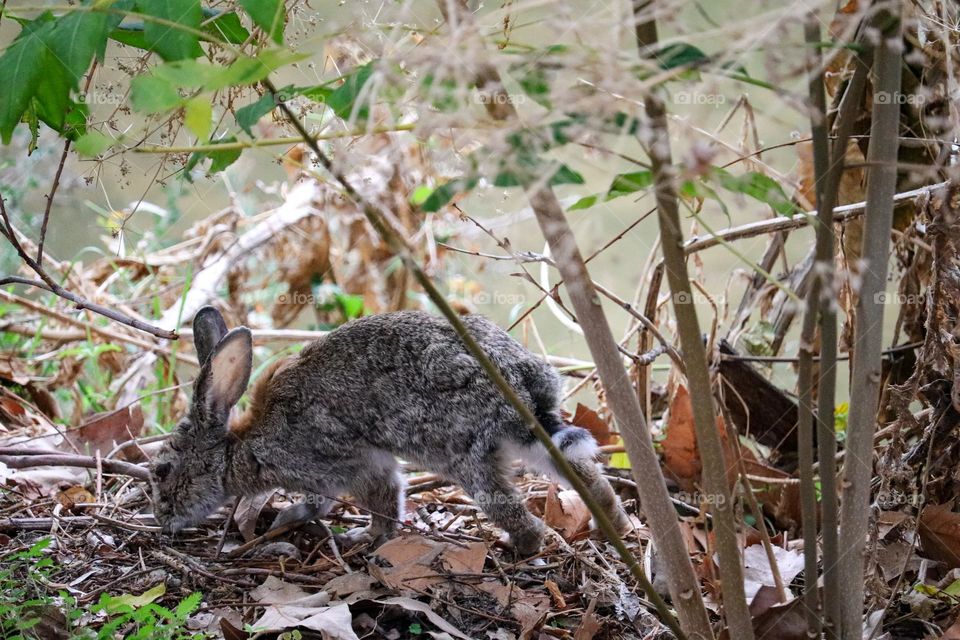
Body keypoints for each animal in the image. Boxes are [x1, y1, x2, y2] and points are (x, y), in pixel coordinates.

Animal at [150, 304, 632, 556]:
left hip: (464, 454)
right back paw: (617, 526)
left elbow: (349, 502)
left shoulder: (342, 466)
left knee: (513, 512)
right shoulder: (370, 466)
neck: (240, 447)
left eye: (162, 471)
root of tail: (520, 382)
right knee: (585, 476)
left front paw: (355, 536)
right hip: (536, 443)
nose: (161, 521)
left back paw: (520, 546)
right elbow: (383, 497)